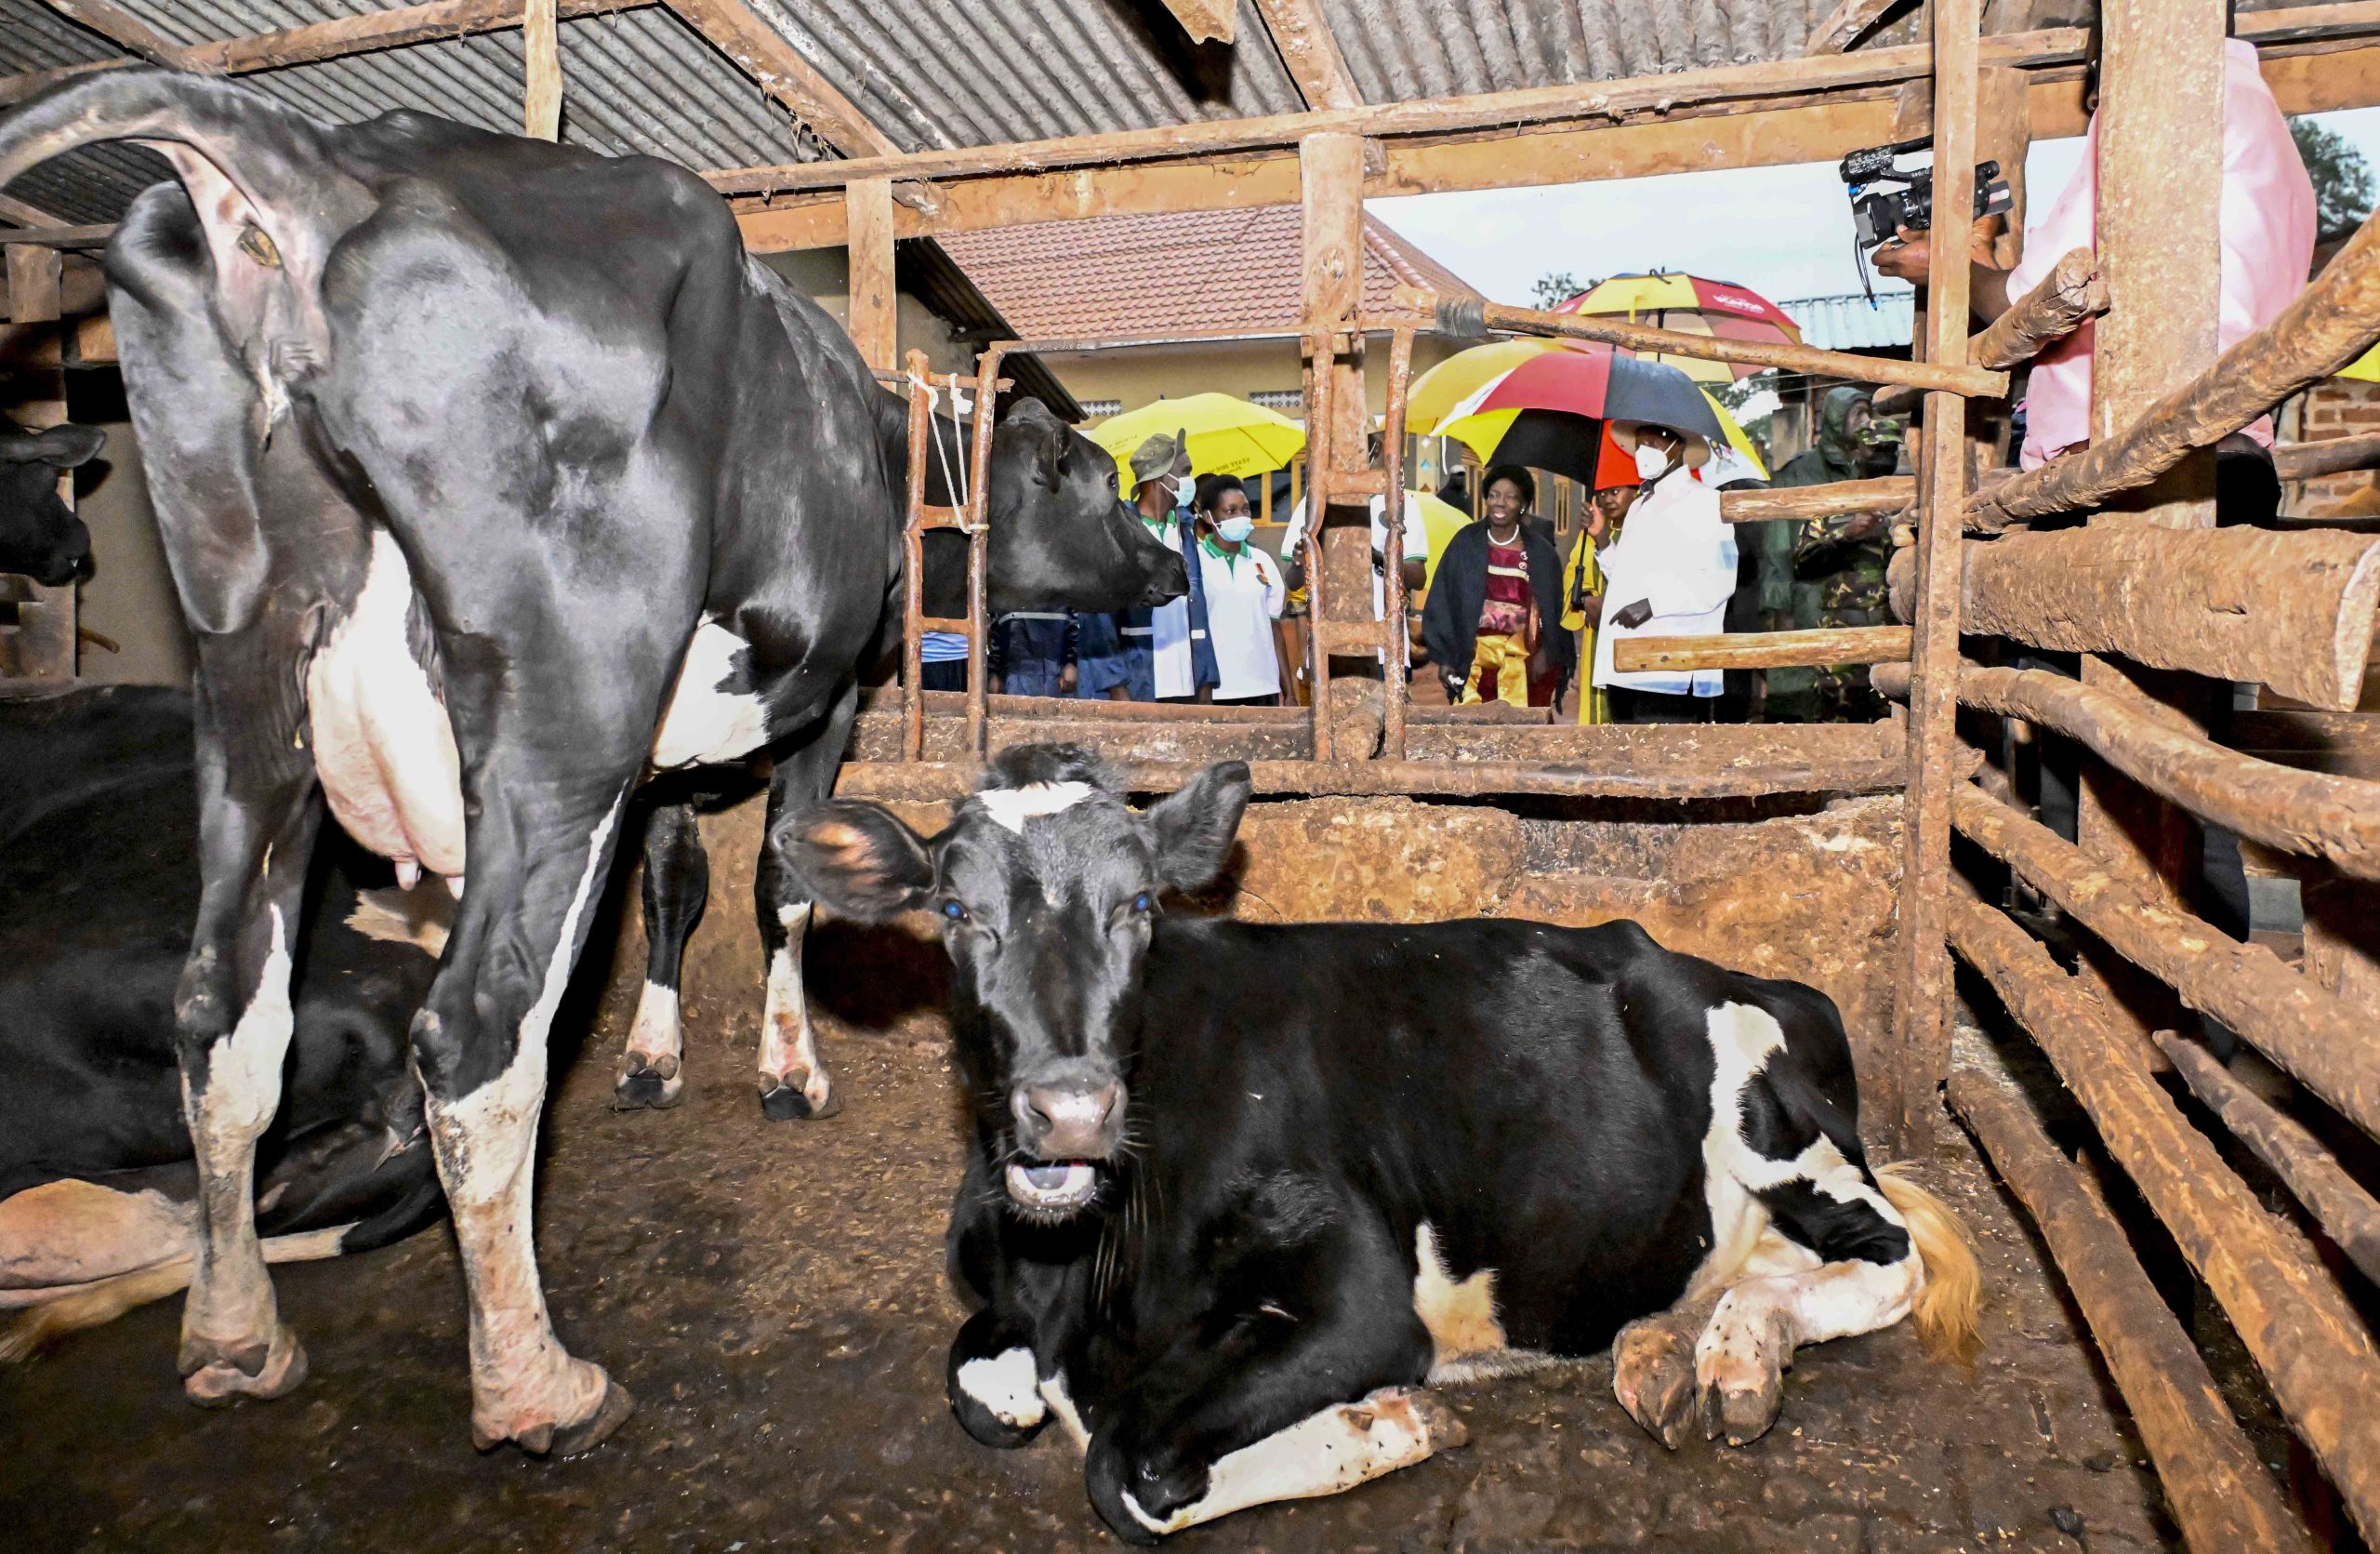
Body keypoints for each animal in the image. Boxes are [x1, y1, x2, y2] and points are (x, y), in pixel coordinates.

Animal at [789, 747, 1979, 1542]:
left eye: (1138, 906)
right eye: (952, 909)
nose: (1068, 1110)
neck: (1087, 1276)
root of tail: (1746, 973)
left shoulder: (1360, 1298)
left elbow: (1125, 1469)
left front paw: (1395, 1421)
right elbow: (987, 1393)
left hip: (1776, 1128)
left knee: (1887, 1260)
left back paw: (1736, 1354)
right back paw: (1679, 1357)